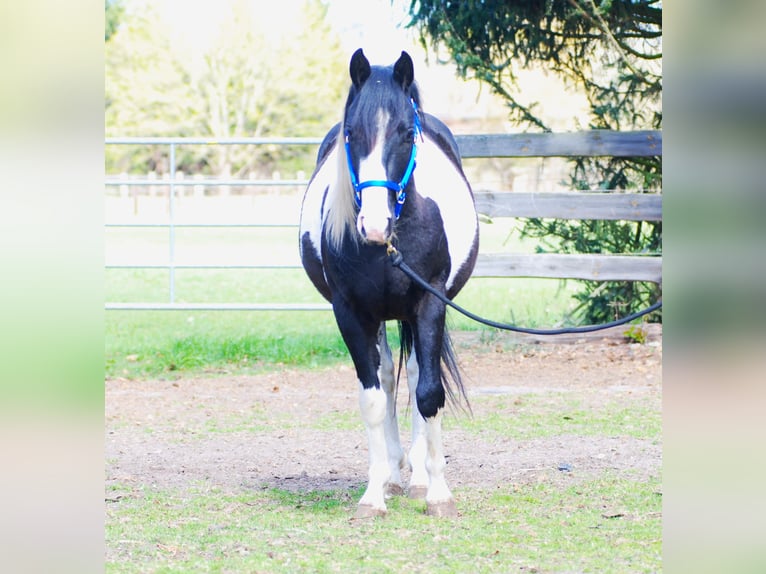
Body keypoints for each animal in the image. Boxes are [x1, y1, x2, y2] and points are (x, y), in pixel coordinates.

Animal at [299, 49, 479, 518]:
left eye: (405, 132)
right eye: (352, 132)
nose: (375, 224)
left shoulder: (430, 303)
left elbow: (429, 393)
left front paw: (438, 493)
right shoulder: (350, 312)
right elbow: (374, 397)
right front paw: (373, 494)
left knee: (415, 375)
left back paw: (417, 477)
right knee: (387, 376)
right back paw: (395, 475)